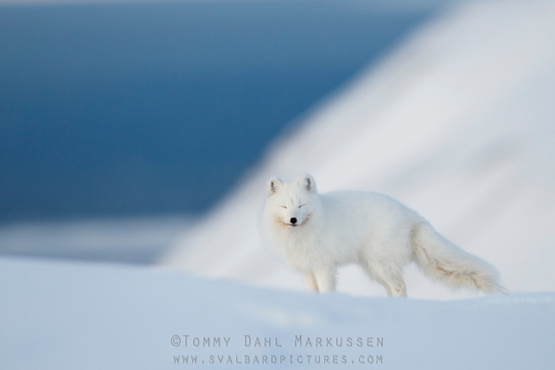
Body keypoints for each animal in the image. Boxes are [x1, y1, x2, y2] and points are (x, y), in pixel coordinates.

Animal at [262, 174, 506, 298]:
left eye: (301, 205)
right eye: (284, 206)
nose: (293, 219)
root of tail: (409, 213)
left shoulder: (323, 266)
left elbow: (326, 290)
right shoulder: (306, 269)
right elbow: (312, 292)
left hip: (381, 263)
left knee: (399, 286)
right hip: (373, 268)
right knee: (391, 287)